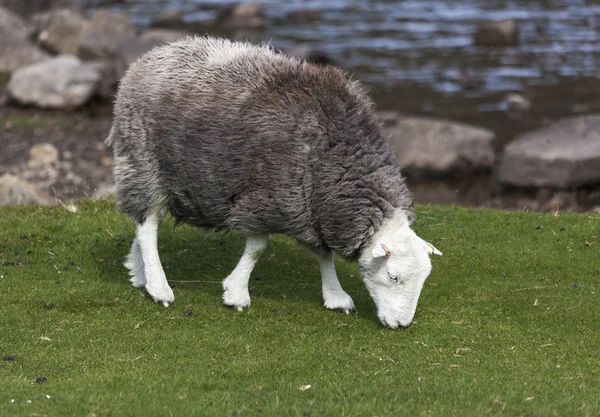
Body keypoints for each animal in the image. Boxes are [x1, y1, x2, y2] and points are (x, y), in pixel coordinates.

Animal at [105, 35, 440, 328]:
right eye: (393, 276)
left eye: (424, 279)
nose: (401, 325)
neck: (335, 159)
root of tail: (150, 57)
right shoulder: (268, 197)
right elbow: (257, 248)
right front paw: (236, 293)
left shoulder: (312, 209)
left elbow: (324, 254)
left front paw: (335, 296)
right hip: (144, 162)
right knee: (148, 226)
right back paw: (158, 287)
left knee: (141, 224)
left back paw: (138, 272)